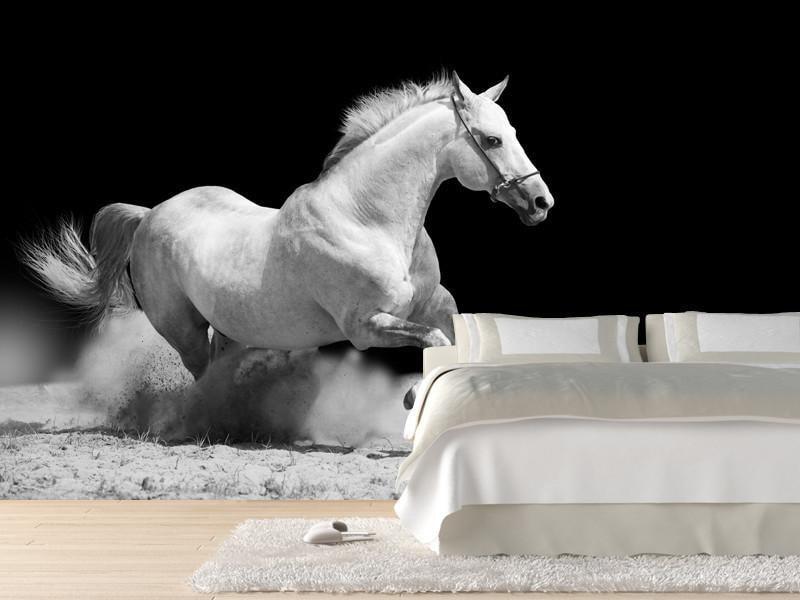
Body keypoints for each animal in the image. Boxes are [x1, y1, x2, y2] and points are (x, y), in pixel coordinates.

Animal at [22, 72, 554, 387]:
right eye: (492, 139)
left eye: (513, 132)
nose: (540, 202)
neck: (367, 220)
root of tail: (149, 213)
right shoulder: (366, 326)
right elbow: (437, 342)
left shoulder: (434, 303)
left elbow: (454, 339)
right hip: (182, 328)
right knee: (200, 375)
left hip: (231, 330)